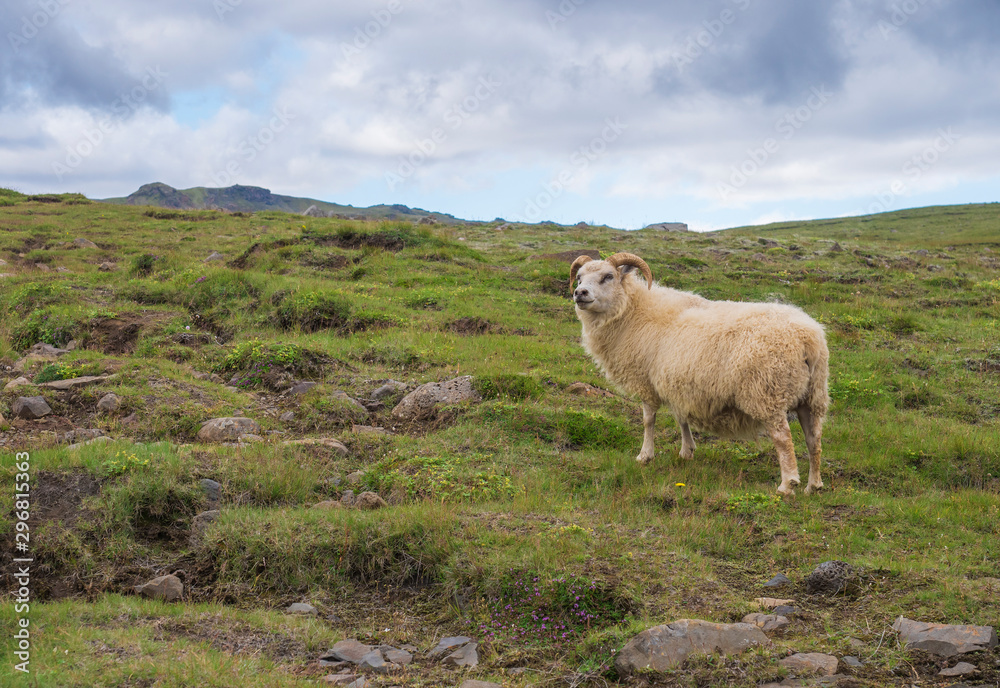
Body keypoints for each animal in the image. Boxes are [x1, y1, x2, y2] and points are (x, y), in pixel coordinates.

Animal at [569, 252, 829, 495]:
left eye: (608, 276)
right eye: (579, 277)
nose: (579, 293)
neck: (632, 311)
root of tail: (808, 338)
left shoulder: (647, 382)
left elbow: (648, 420)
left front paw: (645, 456)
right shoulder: (677, 381)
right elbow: (681, 416)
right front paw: (687, 451)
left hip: (767, 392)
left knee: (783, 438)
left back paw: (787, 485)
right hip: (812, 395)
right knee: (814, 438)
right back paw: (813, 485)